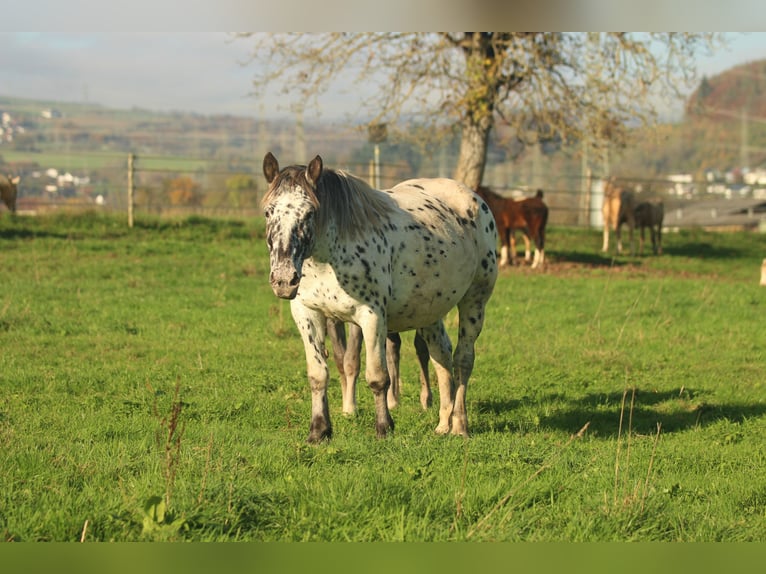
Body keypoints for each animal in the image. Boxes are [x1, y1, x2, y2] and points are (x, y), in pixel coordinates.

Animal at [260, 153, 500, 446]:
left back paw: (460, 426)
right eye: (268, 211)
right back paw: (443, 424)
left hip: (474, 302)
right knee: (441, 356)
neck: (327, 258)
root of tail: (474, 198)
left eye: (309, 213)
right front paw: (318, 431)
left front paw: (384, 427)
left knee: (462, 360)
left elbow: (377, 377)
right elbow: (318, 375)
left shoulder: (371, 316)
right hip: (430, 312)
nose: (284, 279)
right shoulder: (307, 314)